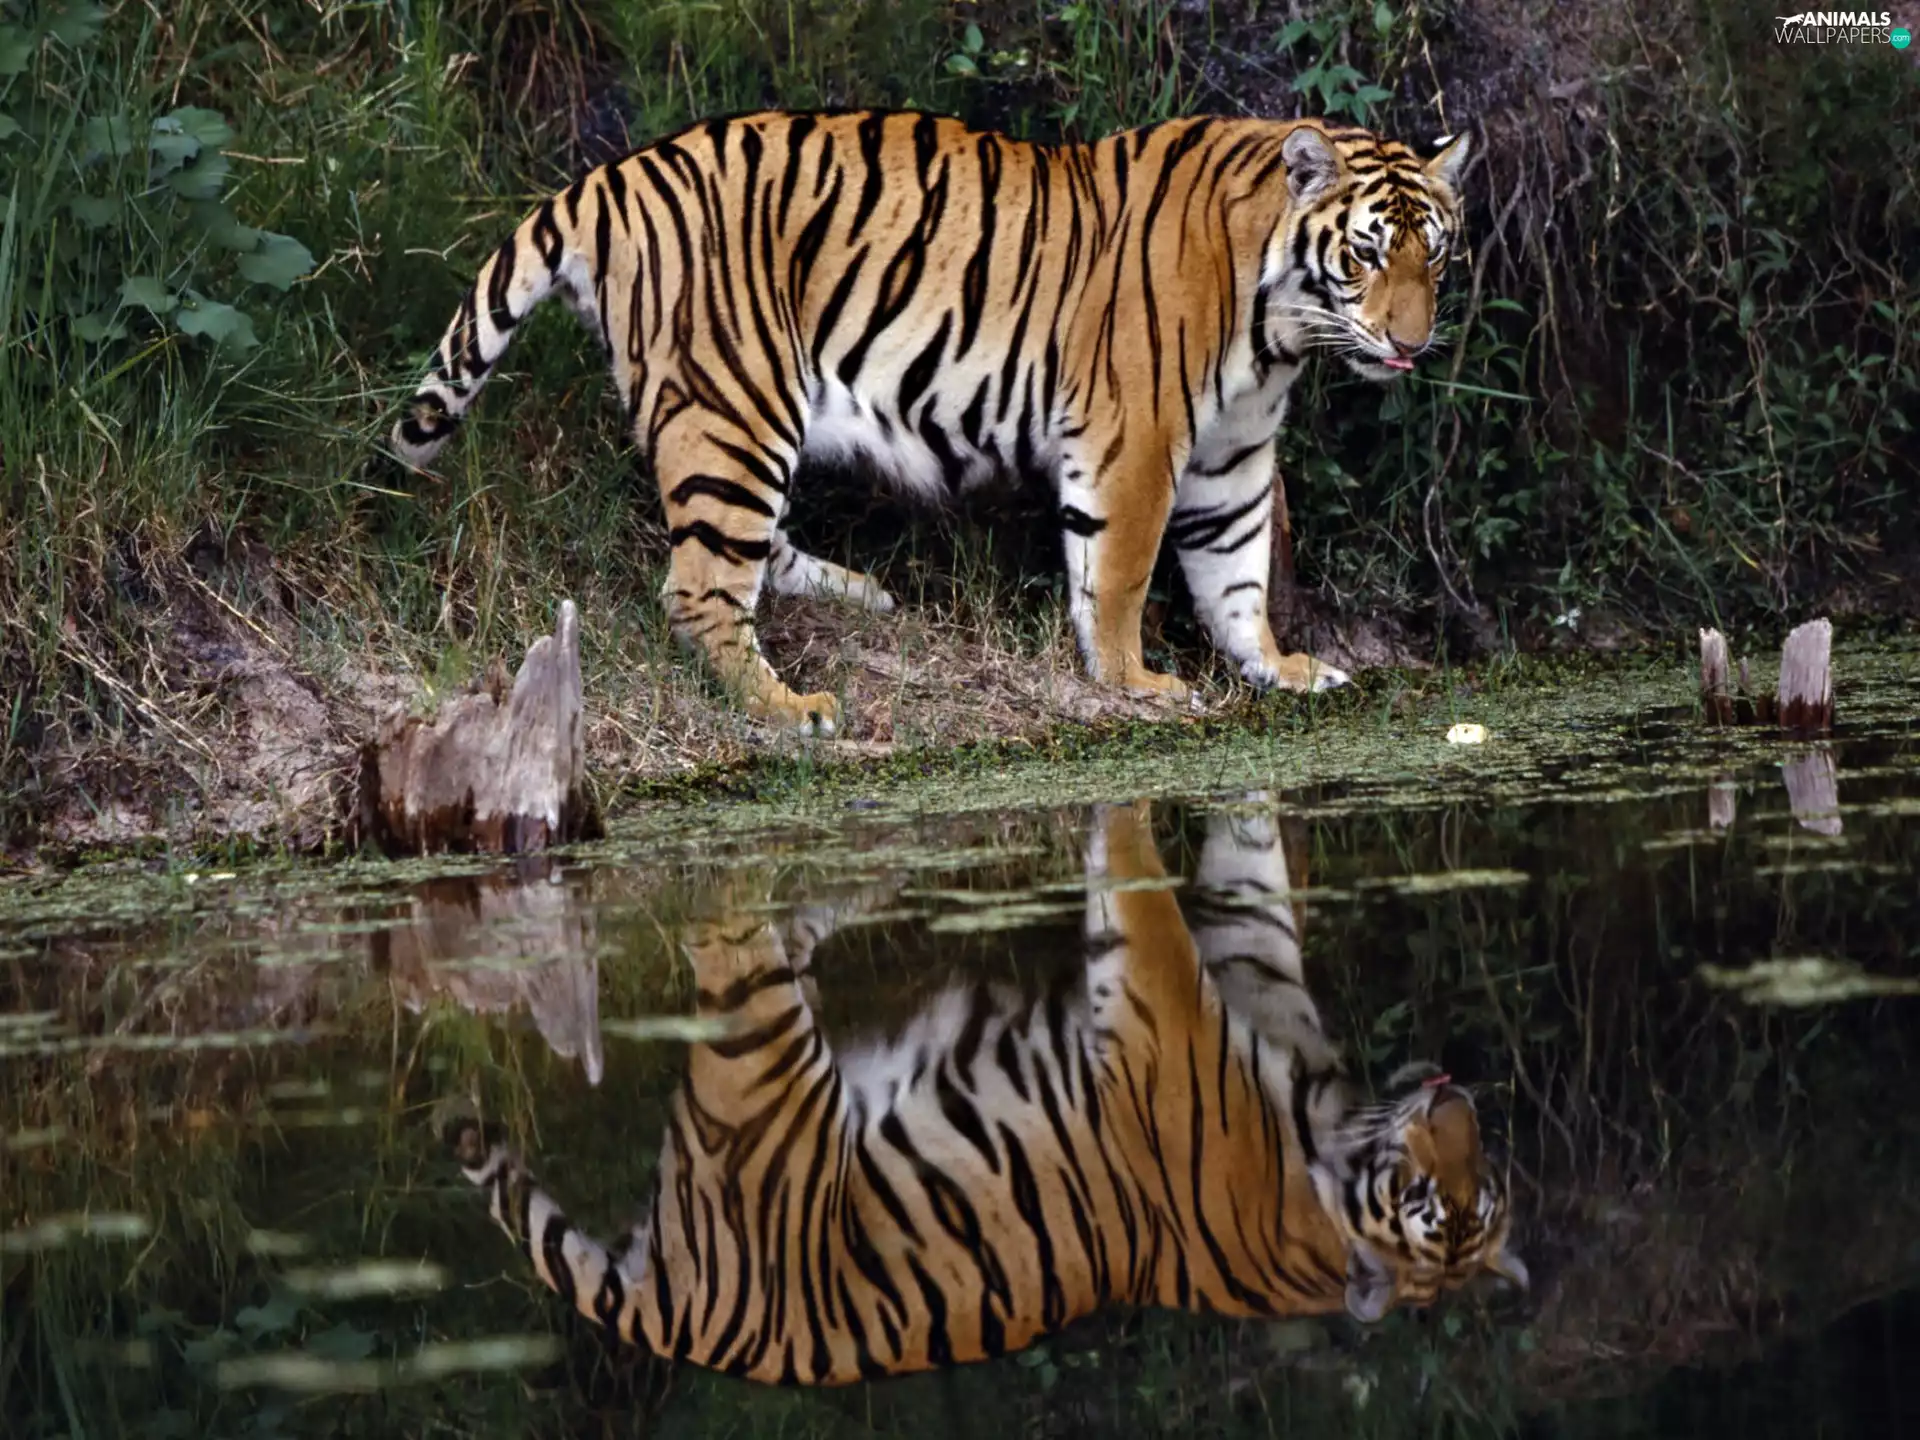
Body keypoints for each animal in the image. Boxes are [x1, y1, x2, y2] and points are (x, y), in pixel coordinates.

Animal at [389, 110, 1472, 734]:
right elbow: (1120, 573)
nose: (1412, 344)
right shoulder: (1136, 436)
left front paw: (1279, 669)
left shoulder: (1234, 451)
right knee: (699, 587)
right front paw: (1136, 683)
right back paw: (793, 708)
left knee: (747, 549)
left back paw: (857, 595)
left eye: (1435, 254)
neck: (1278, 325)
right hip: (736, 401)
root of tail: (609, 179)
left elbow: (1238, 570)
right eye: (1366, 254)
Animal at [441, 796, 1528, 1385]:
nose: (1457, 1102)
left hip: (753, 1061)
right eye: (1433, 1200)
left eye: (1473, 1198)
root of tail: (692, 1325)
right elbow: (1188, 894)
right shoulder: (1183, 1007)